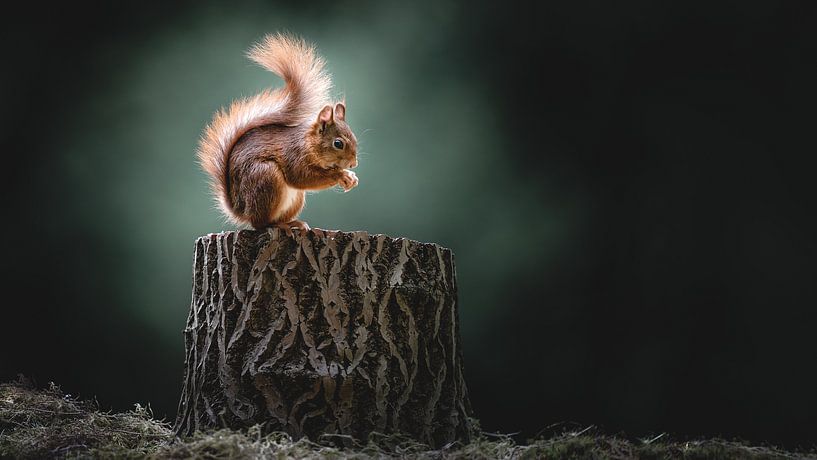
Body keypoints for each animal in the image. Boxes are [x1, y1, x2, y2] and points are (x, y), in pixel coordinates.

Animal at [197, 33, 359, 231]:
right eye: (338, 143)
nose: (353, 164)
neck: (308, 143)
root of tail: (242, 210)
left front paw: (351, 177)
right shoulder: (294, 155)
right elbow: (301, 177)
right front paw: (340, 175)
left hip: (295, 197)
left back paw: (292, 222)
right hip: (266, 177)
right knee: (261, 224)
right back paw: (280, 226)